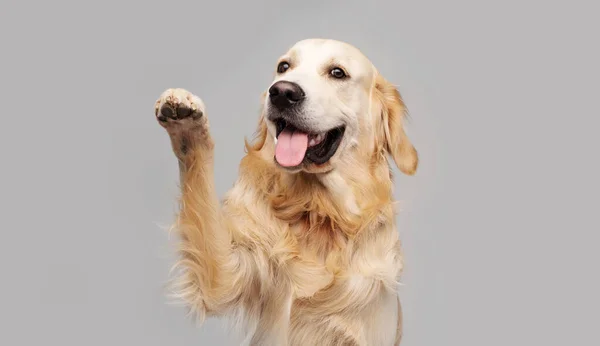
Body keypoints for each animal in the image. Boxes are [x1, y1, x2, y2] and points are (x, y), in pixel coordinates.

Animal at [155, 38, 418, 346]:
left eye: (337, 72)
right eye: (284, 67)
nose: (282, 92)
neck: (318, 212)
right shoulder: (227, 275)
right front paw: (187, 125)